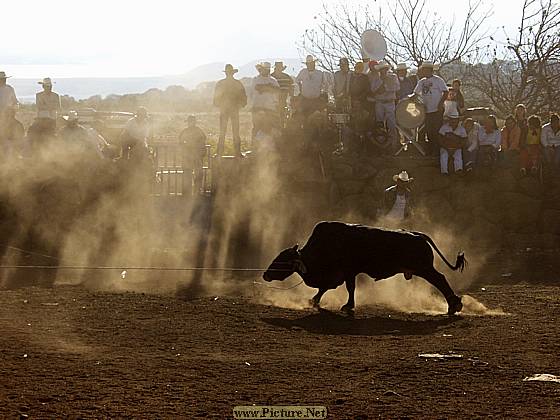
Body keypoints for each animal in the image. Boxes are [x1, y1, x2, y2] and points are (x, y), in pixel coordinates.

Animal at [264, 223, 466, 316]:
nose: (265, 275)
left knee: (440, 279)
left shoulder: (348, 272)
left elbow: (349, 288)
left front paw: (348, 306)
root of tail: (418, 234)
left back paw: (453, 305)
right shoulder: (339, 275)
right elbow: (324, 288)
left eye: (282, 259)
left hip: (424, 268)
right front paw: (313, 301)